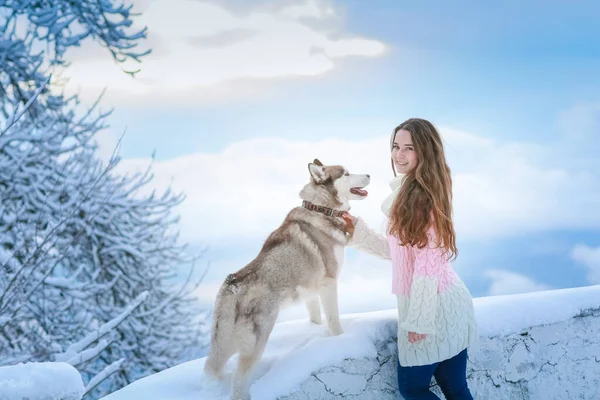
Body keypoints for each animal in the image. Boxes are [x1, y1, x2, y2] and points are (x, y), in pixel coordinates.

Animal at [204, 158, 368, 400]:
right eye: (346, 173)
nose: (369, 174)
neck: (322, 209)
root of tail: (231, 285)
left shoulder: (312, 291)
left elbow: (316, 318)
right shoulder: (329, 283)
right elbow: (334, 321)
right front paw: (340, 340)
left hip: (227, 341)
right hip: (256, 340)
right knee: (238, 381)